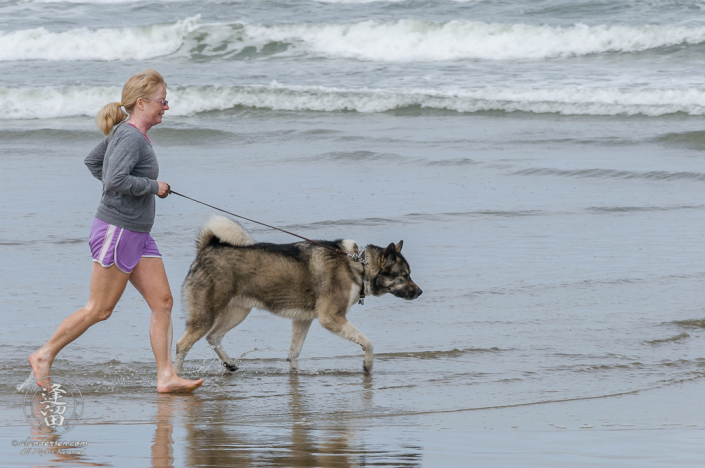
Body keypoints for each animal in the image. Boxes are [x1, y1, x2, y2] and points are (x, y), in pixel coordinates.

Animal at [173, 215, 420, 372]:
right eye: (404, 275)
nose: (419, 292)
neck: (359, 265)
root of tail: (207, 248)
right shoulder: (331, 318)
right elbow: (368, 343)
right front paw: (367, 365)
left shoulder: (303, 320)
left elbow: (293, 354)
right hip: (205, 316)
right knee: (182, 345)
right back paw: (177, 377)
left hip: (238, 312)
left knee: (213, 337)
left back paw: (230, 364)